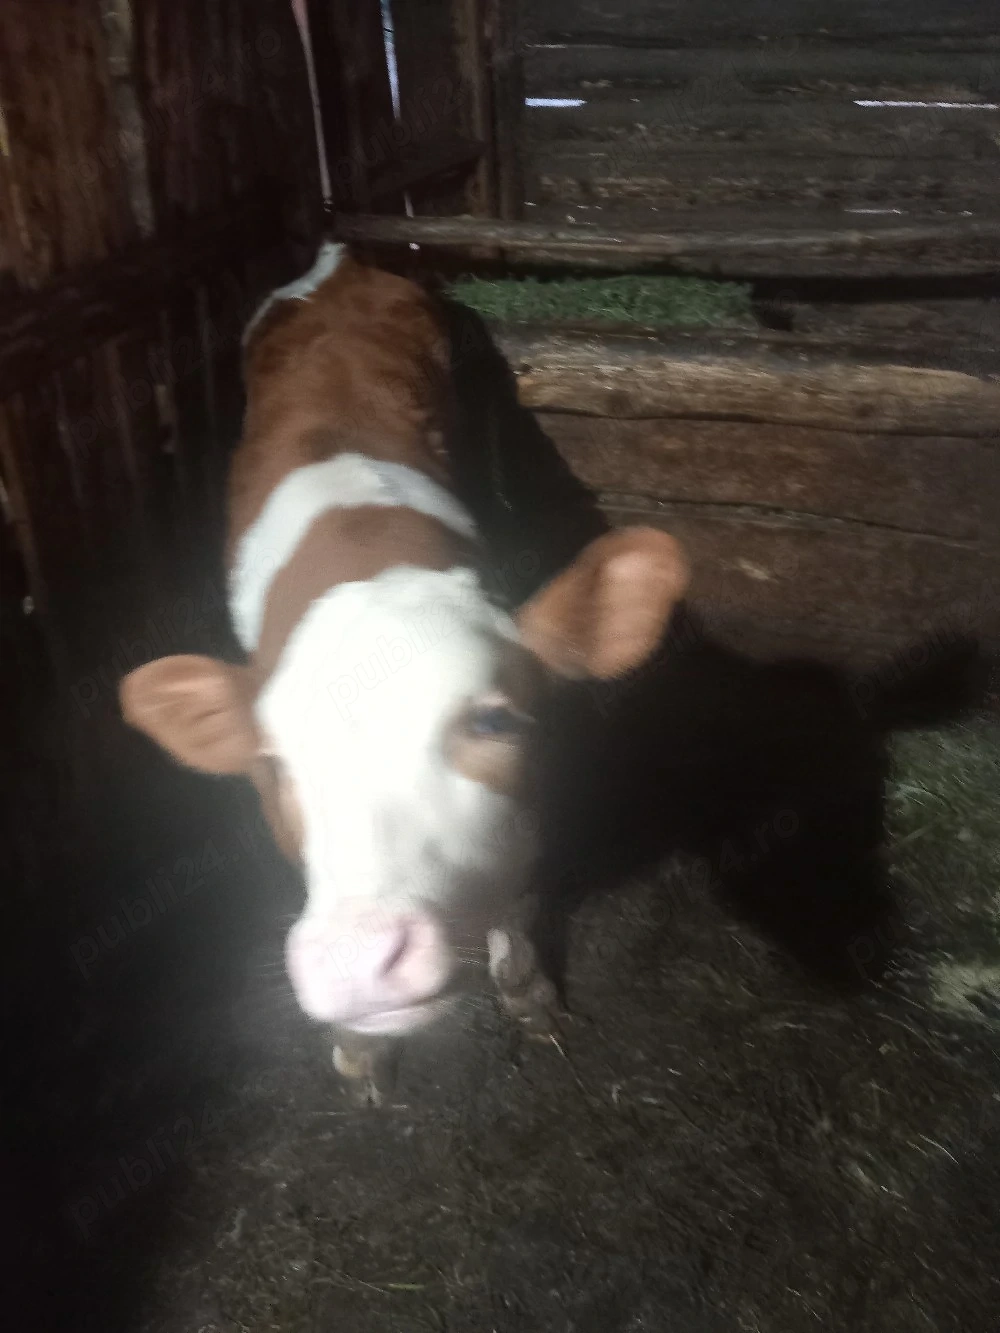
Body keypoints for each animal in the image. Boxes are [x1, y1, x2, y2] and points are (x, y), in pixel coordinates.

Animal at [118, 242, 689, 1103]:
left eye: (493, 719)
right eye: (274, 764)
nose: (355, 960)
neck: (366, 555)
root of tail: (338, 262)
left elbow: (518, 903)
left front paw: (530, 997)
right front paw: (359, 1049)